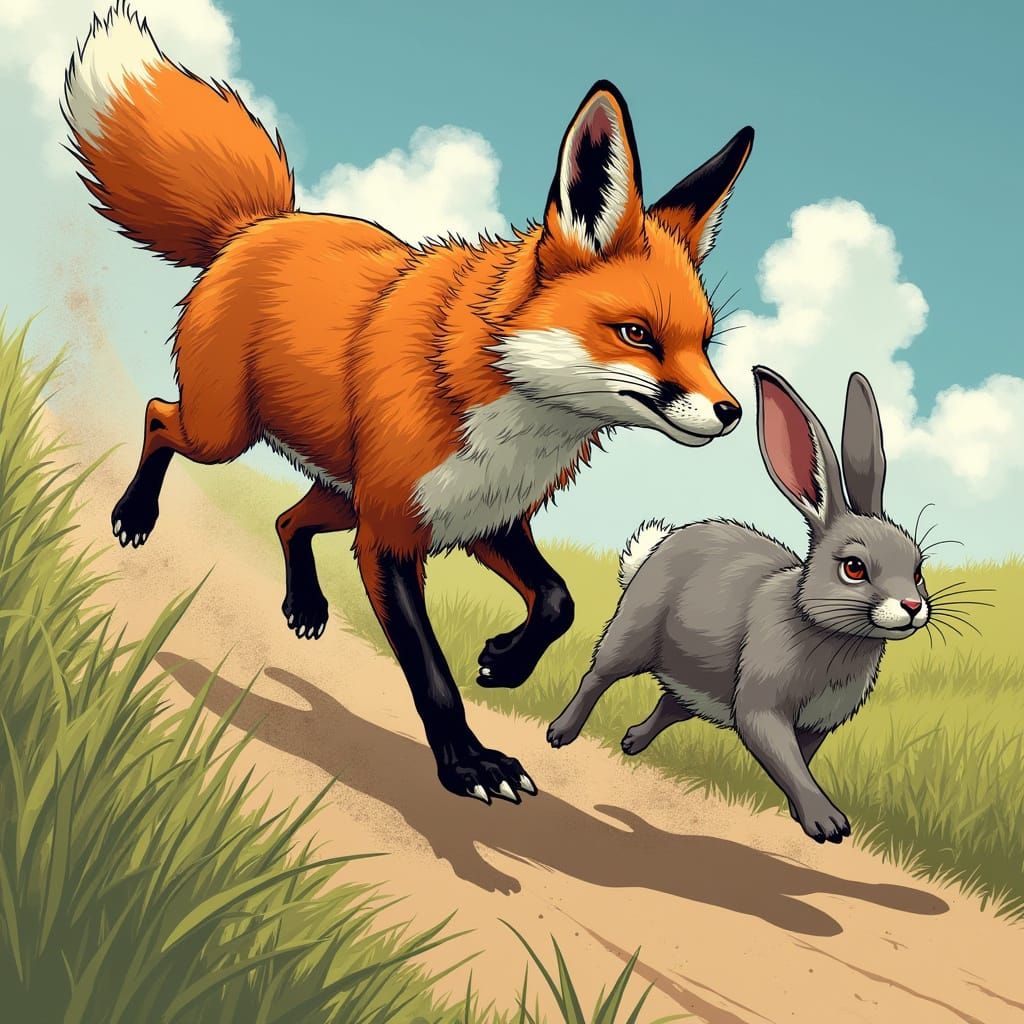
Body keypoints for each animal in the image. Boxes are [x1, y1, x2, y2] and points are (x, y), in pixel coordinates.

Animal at [64, 2, 754, 805]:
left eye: (704, 341)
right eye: (638, 334)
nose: (732, 412)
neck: (513, 418)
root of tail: (259, 223)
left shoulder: (485, 518)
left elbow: (559, 600)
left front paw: (505, 661)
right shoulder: (390, 538)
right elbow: (433, 676)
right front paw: (468, 765)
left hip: (341, 493)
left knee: (287, 517)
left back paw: (304, 605)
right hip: (227, 436)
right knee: (156, 416)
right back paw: (135, 515)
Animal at [547, 366, 931, 843]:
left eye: (918, 568)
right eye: (854, 568)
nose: (912, 605)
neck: (821, 628)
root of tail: (658, 548)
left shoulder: (817, 725)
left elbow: (800, 763)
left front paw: (800, 815)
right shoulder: (761, 707)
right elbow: (786, 760)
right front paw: (827, 823)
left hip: (699, 671)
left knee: (672, 703)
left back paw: (633, 741)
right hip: (632, 633)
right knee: (597, 676)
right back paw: (561, 733)